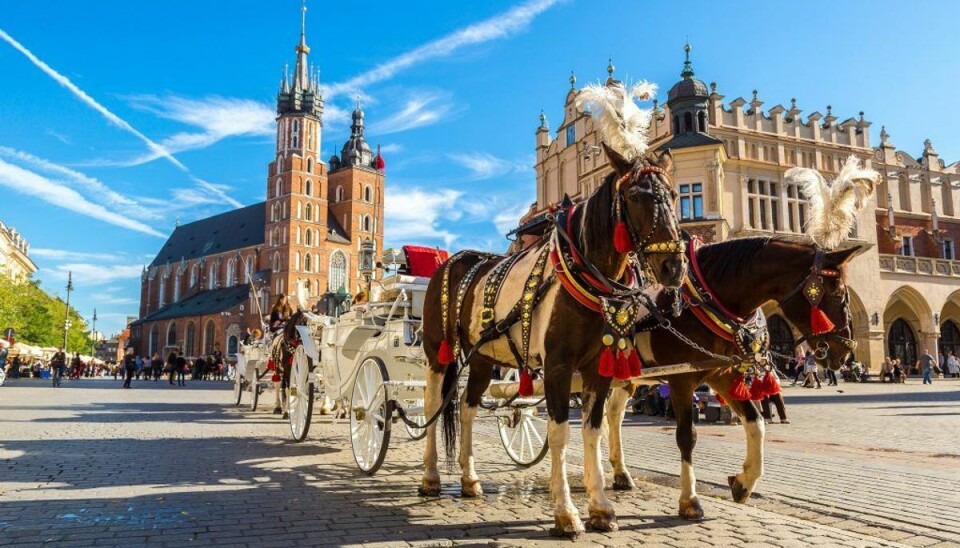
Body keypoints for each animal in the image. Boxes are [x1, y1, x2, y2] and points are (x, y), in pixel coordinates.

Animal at [424, 144, 688, 536]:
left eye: (673, 195)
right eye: (634, 196)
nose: (674, 266)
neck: (583, 275)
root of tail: (452, 260)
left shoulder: (598, 369)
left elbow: (593, 431)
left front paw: (601, 507)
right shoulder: (559, 367)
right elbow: (560, 432)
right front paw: (566, 513)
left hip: (482, 358)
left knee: (468, 408)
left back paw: (470, 480)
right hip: (437, 352)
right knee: (432, 405)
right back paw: (429, 477)